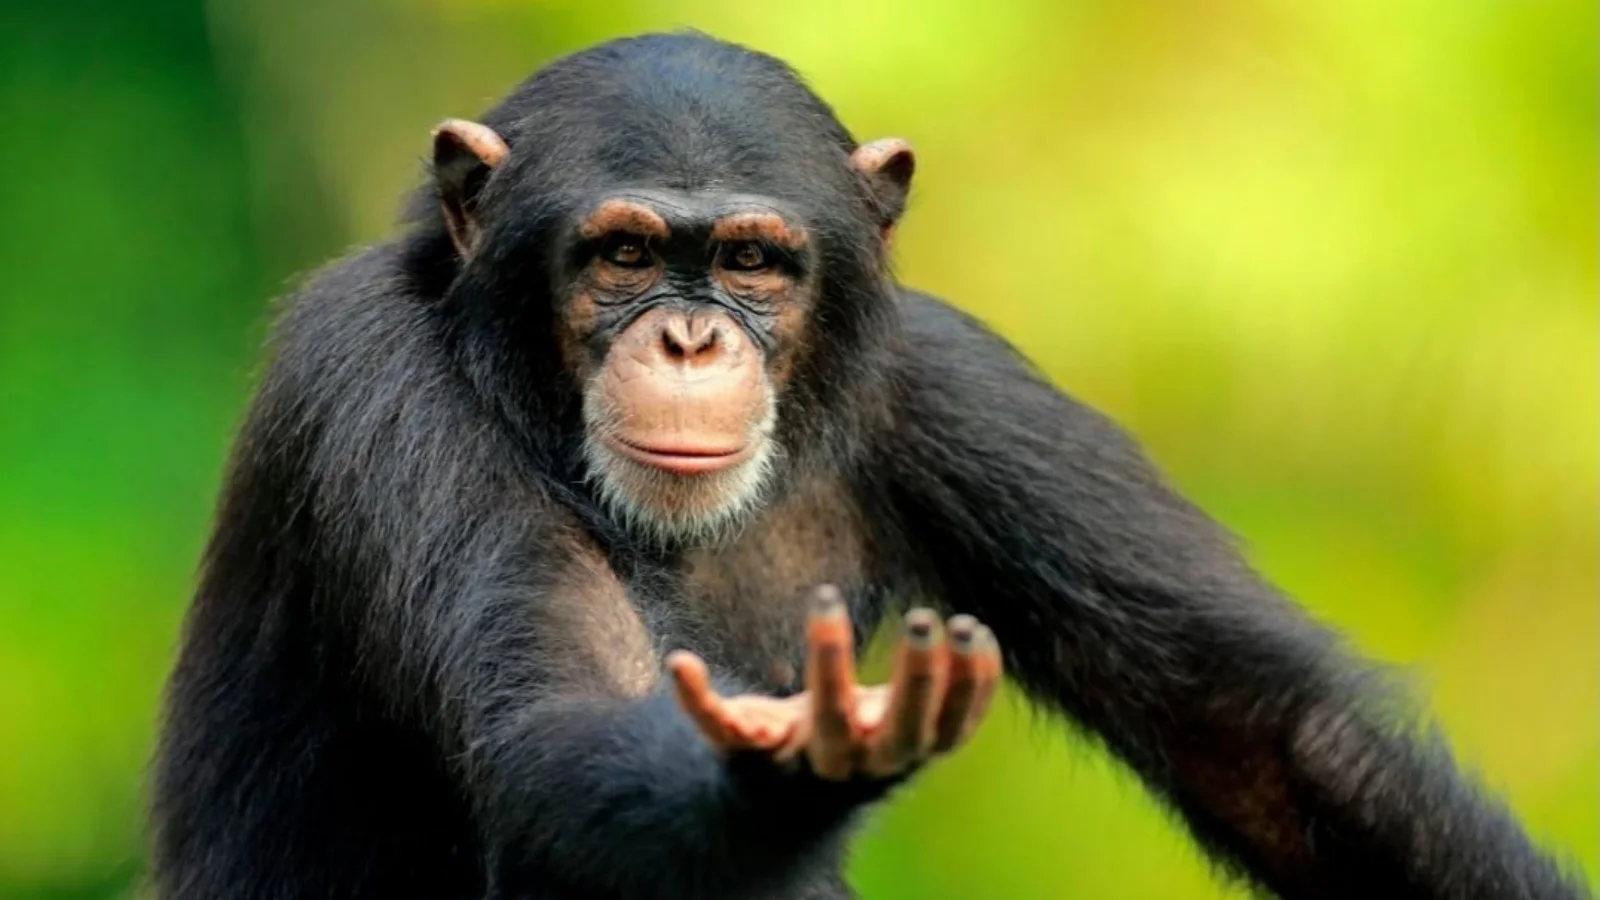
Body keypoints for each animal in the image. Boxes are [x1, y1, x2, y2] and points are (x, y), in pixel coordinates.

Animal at [149, 31, 1591, 900]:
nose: (688, 338)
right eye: (622, 254)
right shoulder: (374, 386)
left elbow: (1270, 741)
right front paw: (796, 764)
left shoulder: (953, 388)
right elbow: (550, 736)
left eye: (752, 262)